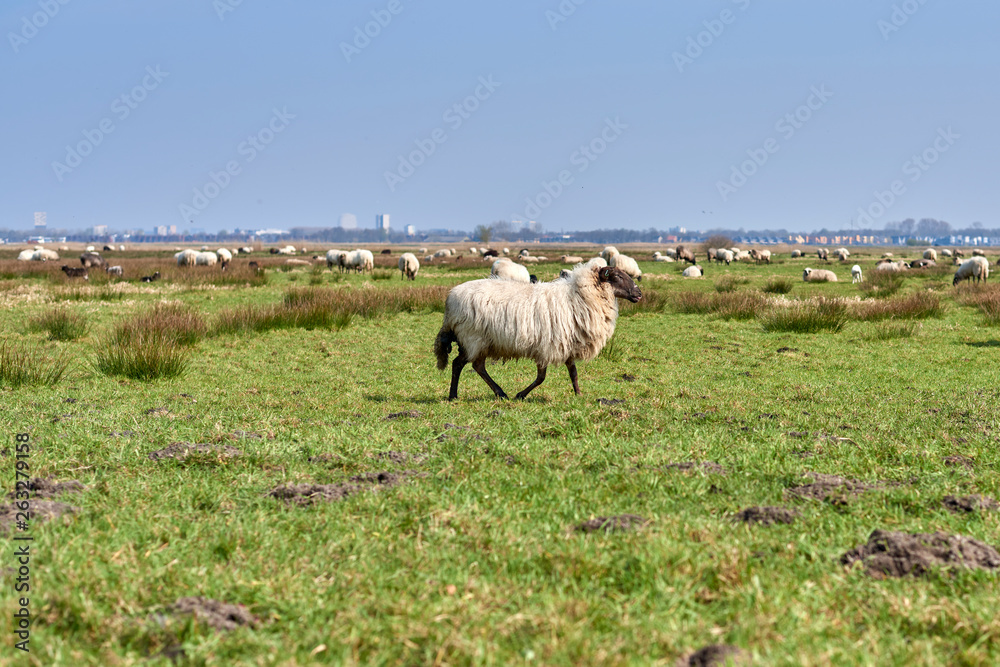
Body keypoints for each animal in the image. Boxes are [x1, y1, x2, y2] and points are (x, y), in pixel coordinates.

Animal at [434, 263, 641, 400]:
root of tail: (450, 301)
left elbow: (573, 372)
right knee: (463, 365)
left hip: (480, 341)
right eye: (618, 277)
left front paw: (579, 394)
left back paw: (489, 393)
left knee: (473, 366)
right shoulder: (547, 346)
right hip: (473, 338)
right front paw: (520, 395)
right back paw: (459, 395)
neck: (579, 297)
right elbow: (541, 378)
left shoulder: (567, 343)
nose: (639, 293)